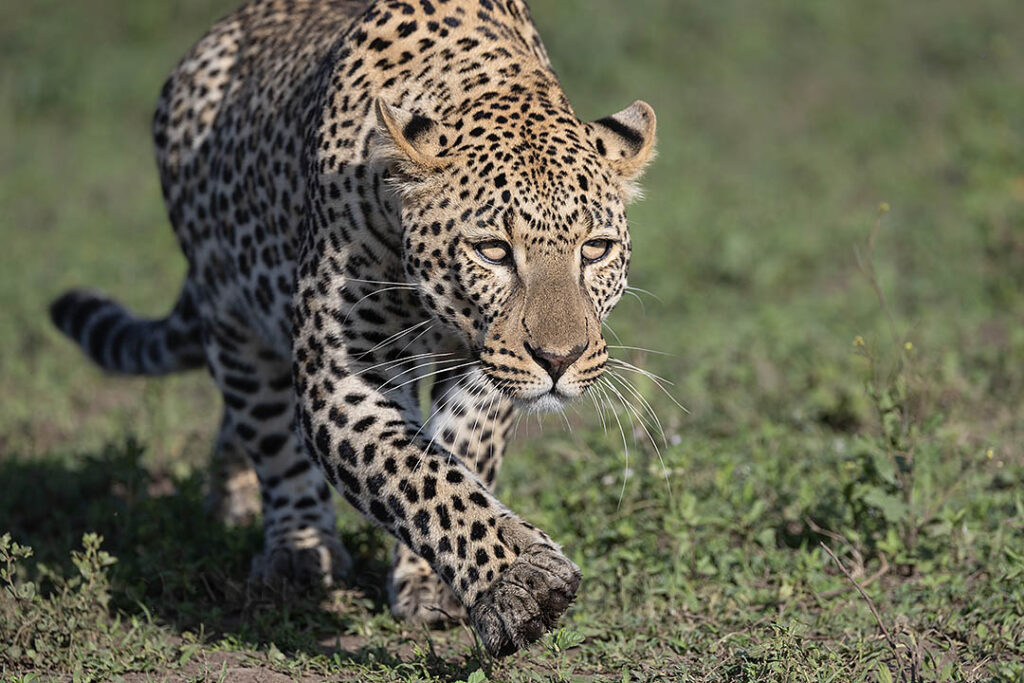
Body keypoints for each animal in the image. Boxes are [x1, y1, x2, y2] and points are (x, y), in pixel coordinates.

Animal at [49, 0, 655, 657]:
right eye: (493, 251)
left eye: (595, 250)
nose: (559, 359)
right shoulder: (343, 371)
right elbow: (419, 475)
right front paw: (515, 582)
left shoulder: (480, 364)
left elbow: (458, 454)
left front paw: (437, 586)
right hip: (231, 316)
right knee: (269, 430)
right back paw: (295, 551)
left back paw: (230, 498)